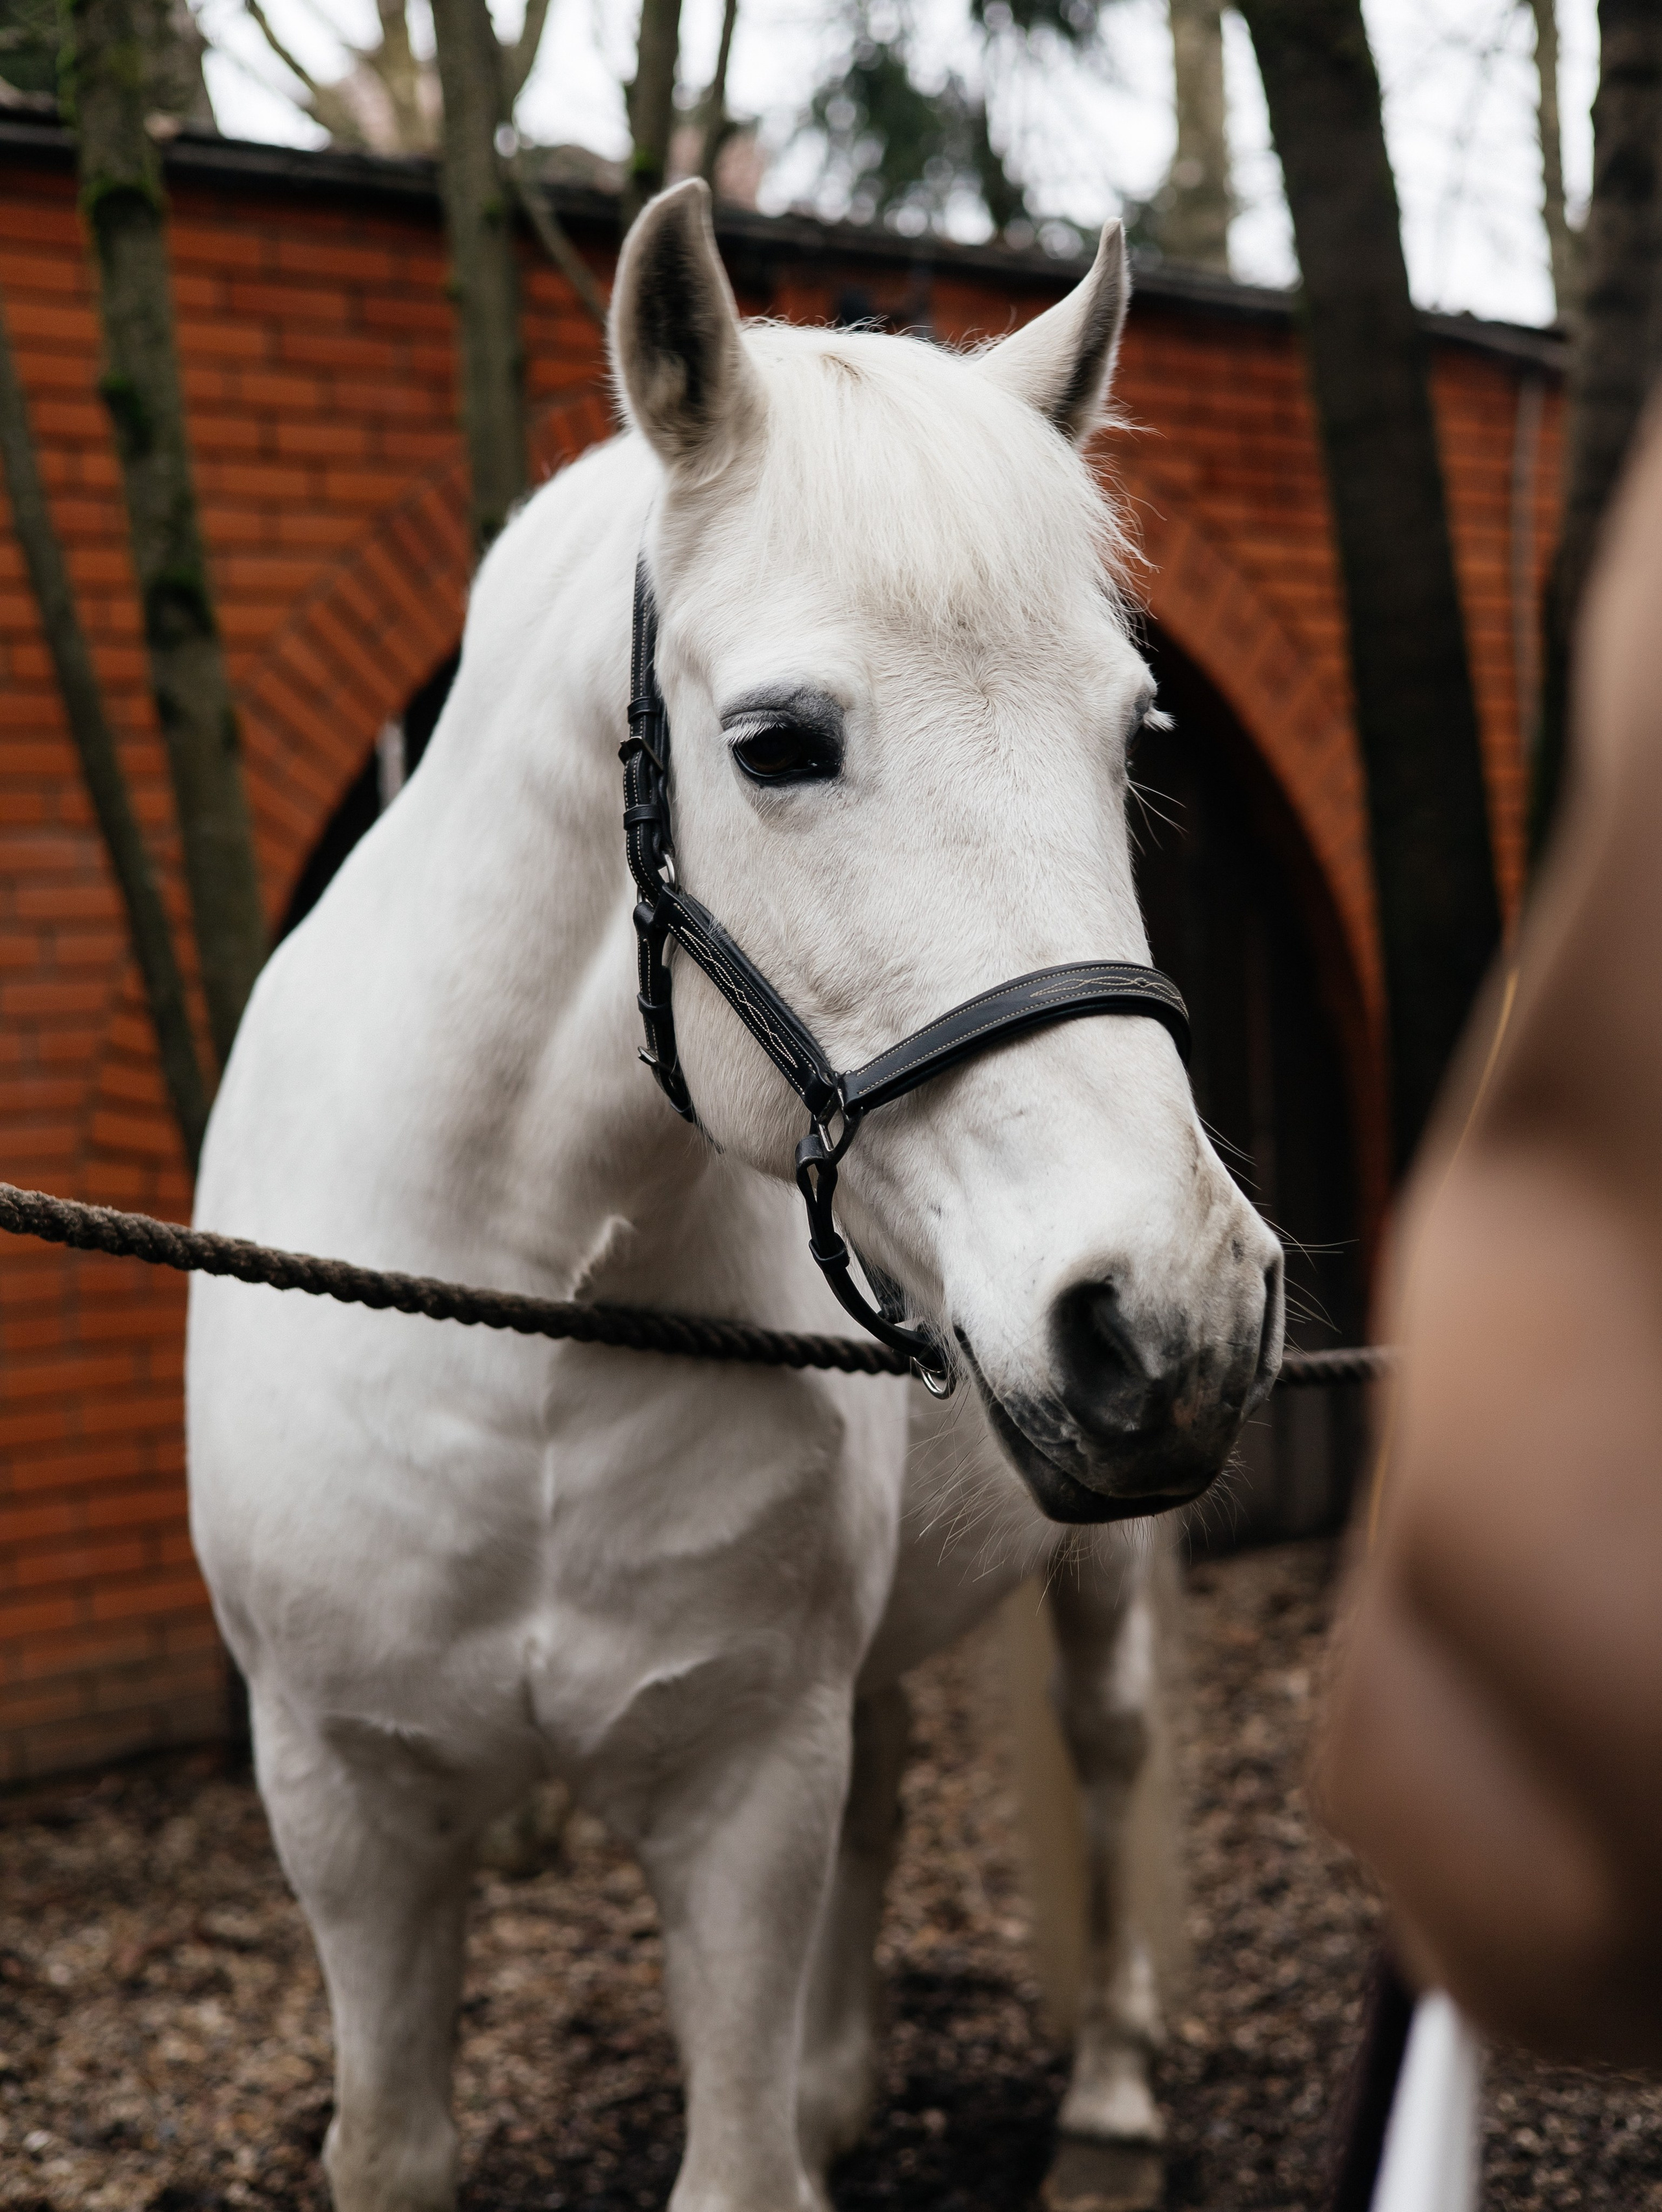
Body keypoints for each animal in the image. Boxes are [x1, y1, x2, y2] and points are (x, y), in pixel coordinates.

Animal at [186, 179, 1284, 2212]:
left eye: (1131, 736)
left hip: (1092, 1576)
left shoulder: (737, 1791)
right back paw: (851, 2075)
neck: (525, 1313)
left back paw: (1104, 2106)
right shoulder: (349, 1812)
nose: (1169, 1310)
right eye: (778, 741)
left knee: (1106, 1747)